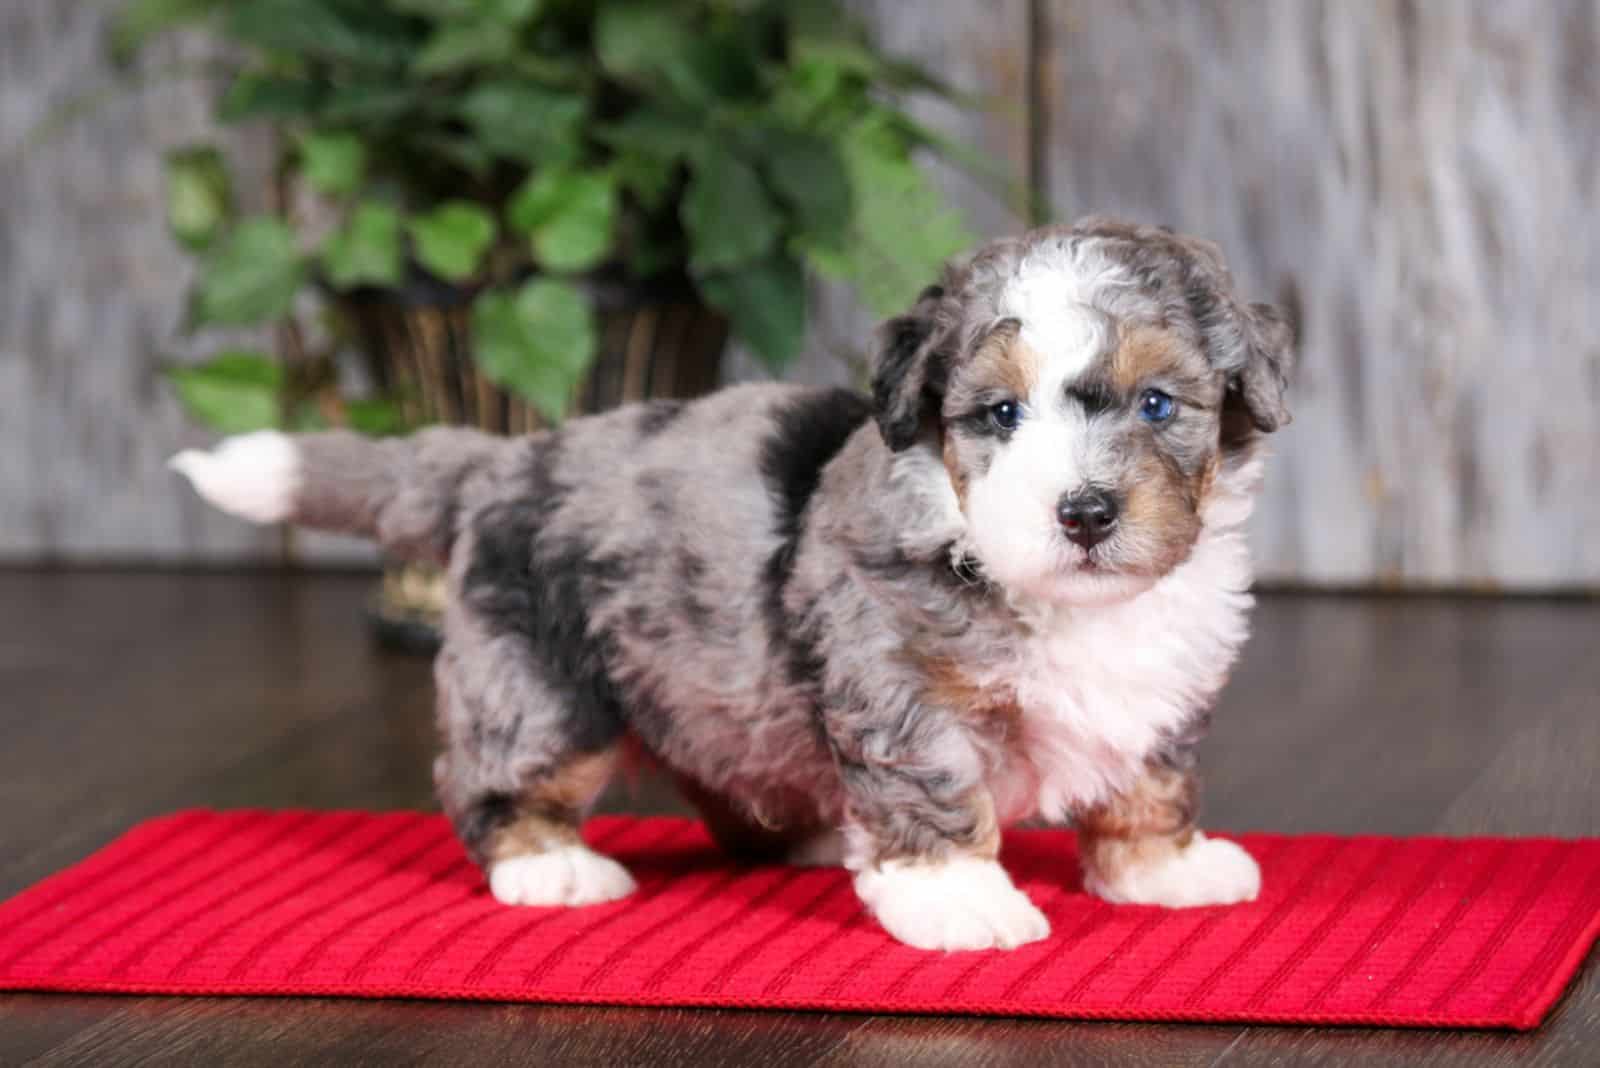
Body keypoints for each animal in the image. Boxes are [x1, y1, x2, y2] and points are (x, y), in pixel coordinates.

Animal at [175, 217, 1292, 952]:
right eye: (1000, 415)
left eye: (1158, 404)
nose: (1086, 511)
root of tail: (501, 457)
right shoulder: (899, 687)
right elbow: (932, 787)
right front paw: (956, 899)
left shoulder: (1159, 693)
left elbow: (1151, 776)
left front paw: (1163, 864)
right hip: (541, 684)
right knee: (493, 777)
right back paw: (549, 861)